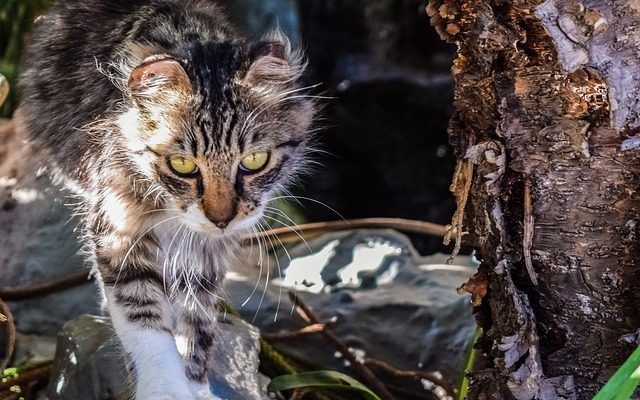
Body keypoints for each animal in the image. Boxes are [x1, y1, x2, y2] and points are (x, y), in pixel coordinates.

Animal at [15, 1, 316, 398]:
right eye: (182, 165)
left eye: (253, 161)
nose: (222, 218)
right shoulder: (118, 229)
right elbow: (143, 320)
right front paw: (166, 387)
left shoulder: (206, 256)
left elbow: (199, 324)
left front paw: (197, 385)